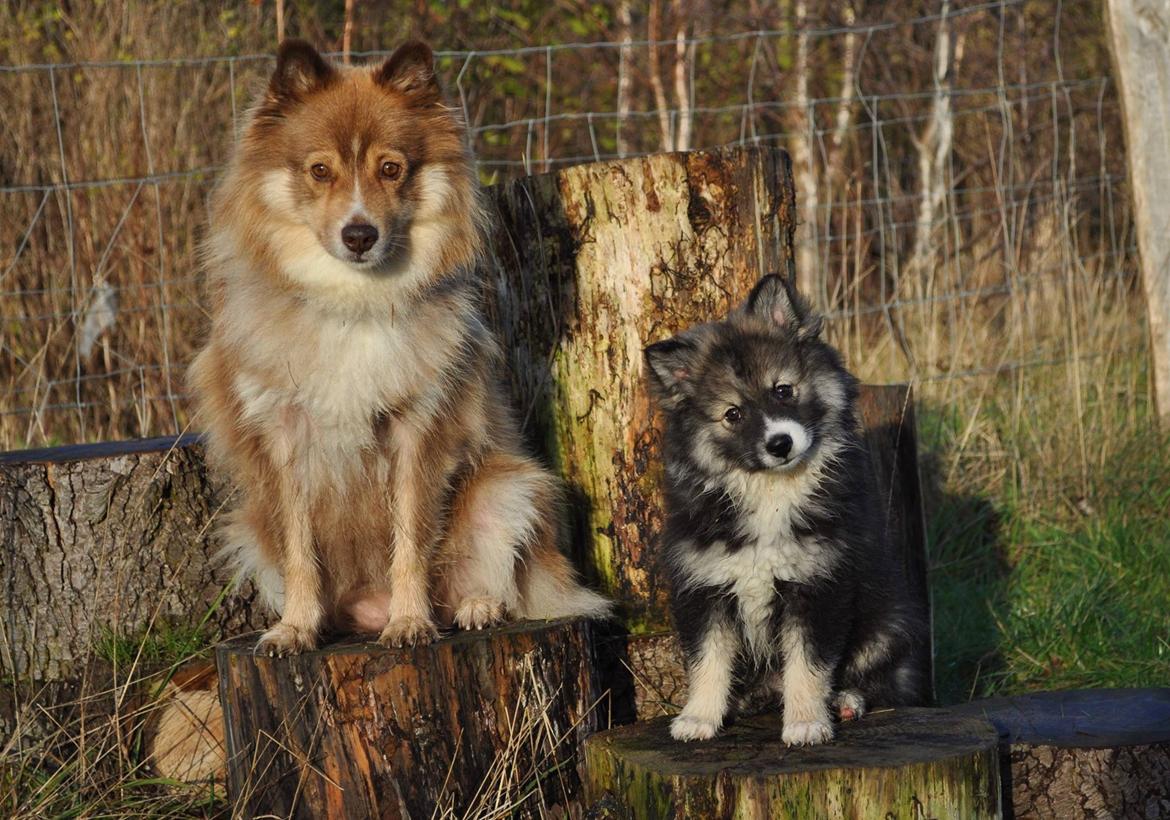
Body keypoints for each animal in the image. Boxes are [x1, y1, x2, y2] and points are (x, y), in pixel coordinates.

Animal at [187, 40, 608, 650]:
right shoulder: (284, 439)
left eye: (391, 169)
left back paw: (475, 608)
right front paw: (295, 628)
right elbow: (300, 549)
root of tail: (367, 608)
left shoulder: (418, 431)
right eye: (319, 171)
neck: (353, 304)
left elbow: (411, 540)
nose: (359, 235)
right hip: (249, 524)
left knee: (493, 579)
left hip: (506, 487)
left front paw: (410, 622)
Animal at [645, 273, 926, 743]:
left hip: (889, 621)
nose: (780, 443)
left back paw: (846, 700)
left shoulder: (817, 585)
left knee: (880, 678)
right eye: (733, 414)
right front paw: (699, 717)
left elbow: (808, 663)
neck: (770, 494)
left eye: (783, 390)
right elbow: (707, 659)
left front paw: (806, 722)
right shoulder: (705, 587)